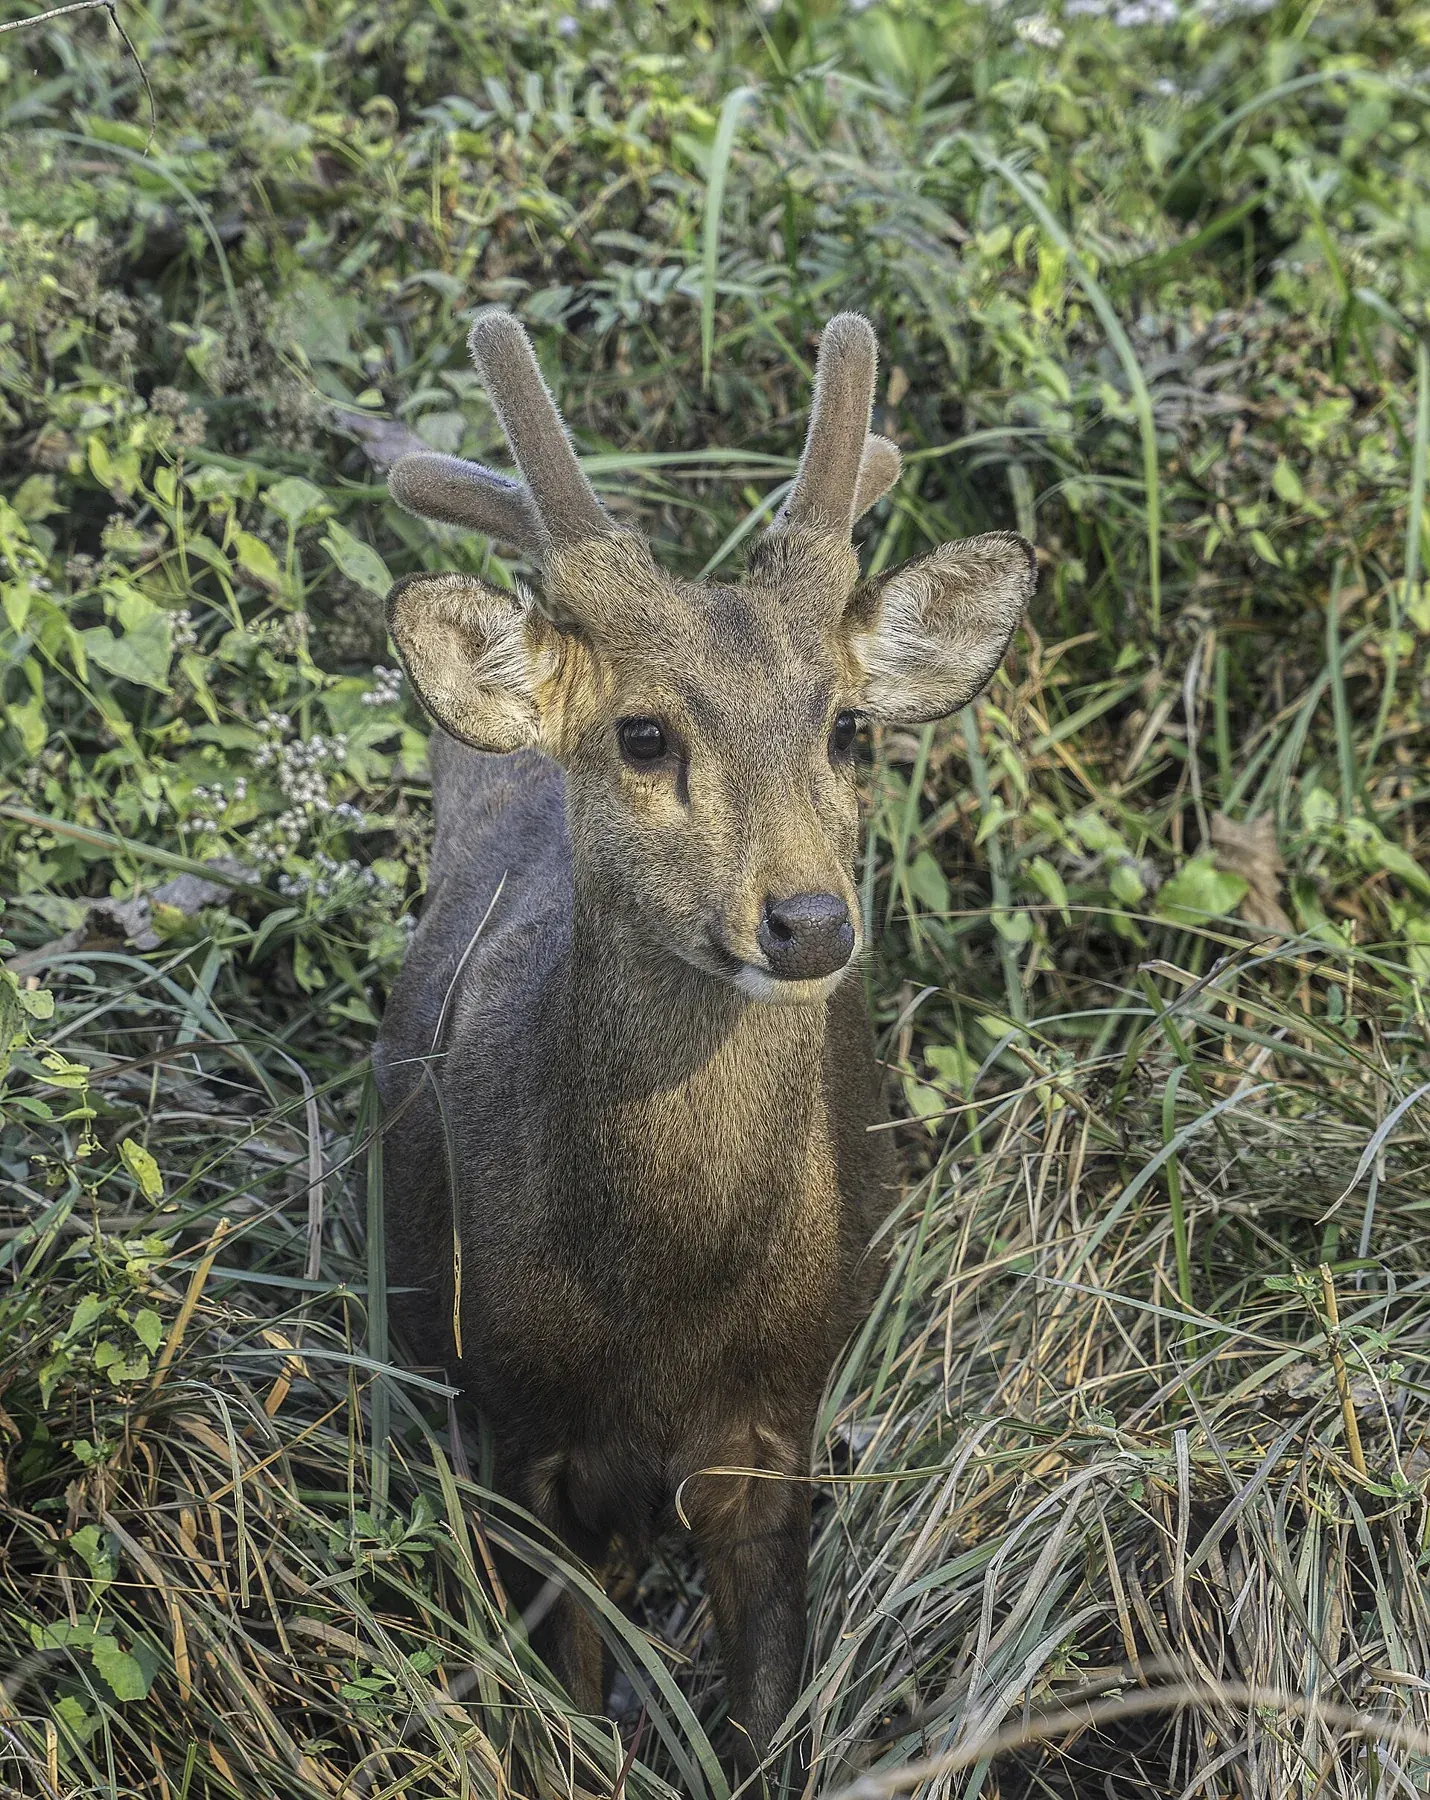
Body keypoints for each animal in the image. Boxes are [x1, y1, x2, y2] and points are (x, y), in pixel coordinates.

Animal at [372, 308, 1037, 1781]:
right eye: (642, 732)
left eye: (844, 726)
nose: (805, 921)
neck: (658, 1314)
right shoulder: (520, 1430)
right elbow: (563, 1708)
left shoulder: (775, 1424)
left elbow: (768, 1721)